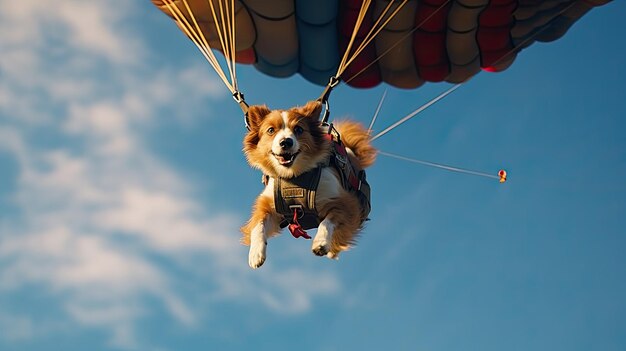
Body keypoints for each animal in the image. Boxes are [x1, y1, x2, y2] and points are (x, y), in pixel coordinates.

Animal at [240, 99, 376, 270]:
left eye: (298, 129)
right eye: (271, 130)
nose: (286, 142)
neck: (295, 176)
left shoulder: (346, 202)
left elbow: (328, 220)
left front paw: (321, 242)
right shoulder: (268, 203)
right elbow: (258, 225)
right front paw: (256, 254)